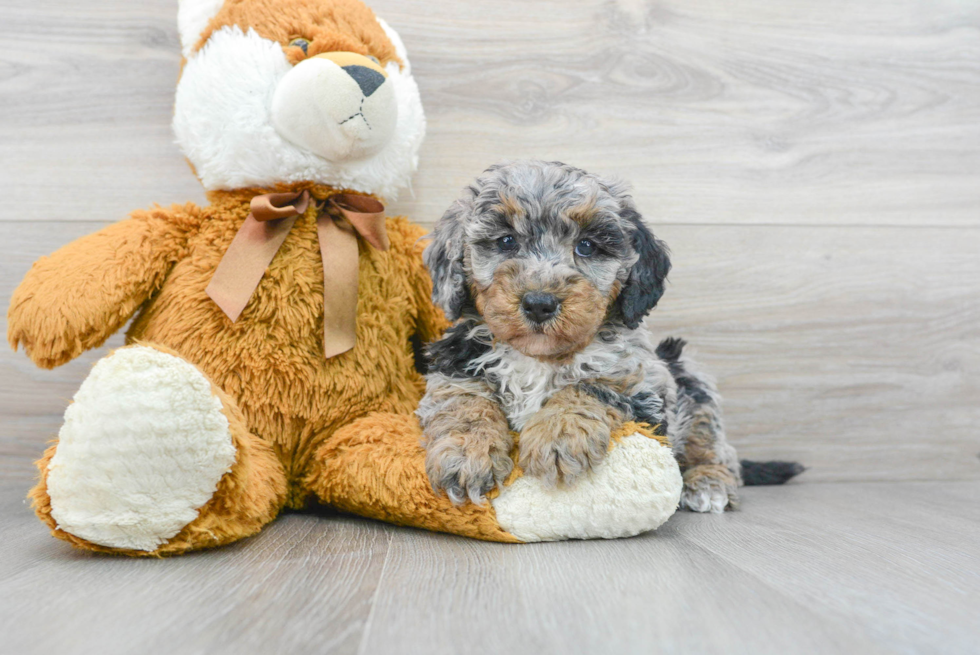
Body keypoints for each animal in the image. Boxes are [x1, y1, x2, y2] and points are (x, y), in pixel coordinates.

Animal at [418, 159, 800, 512]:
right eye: (506, 241)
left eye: (587, 246)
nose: (539, 303)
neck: (539, 357)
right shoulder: (455, 365)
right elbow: (465, 401)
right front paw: (468, 454)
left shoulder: (640, 385)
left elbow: (589, 385)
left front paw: (558, 437)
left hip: (689, 375)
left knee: (716, 447)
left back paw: (709, 483)